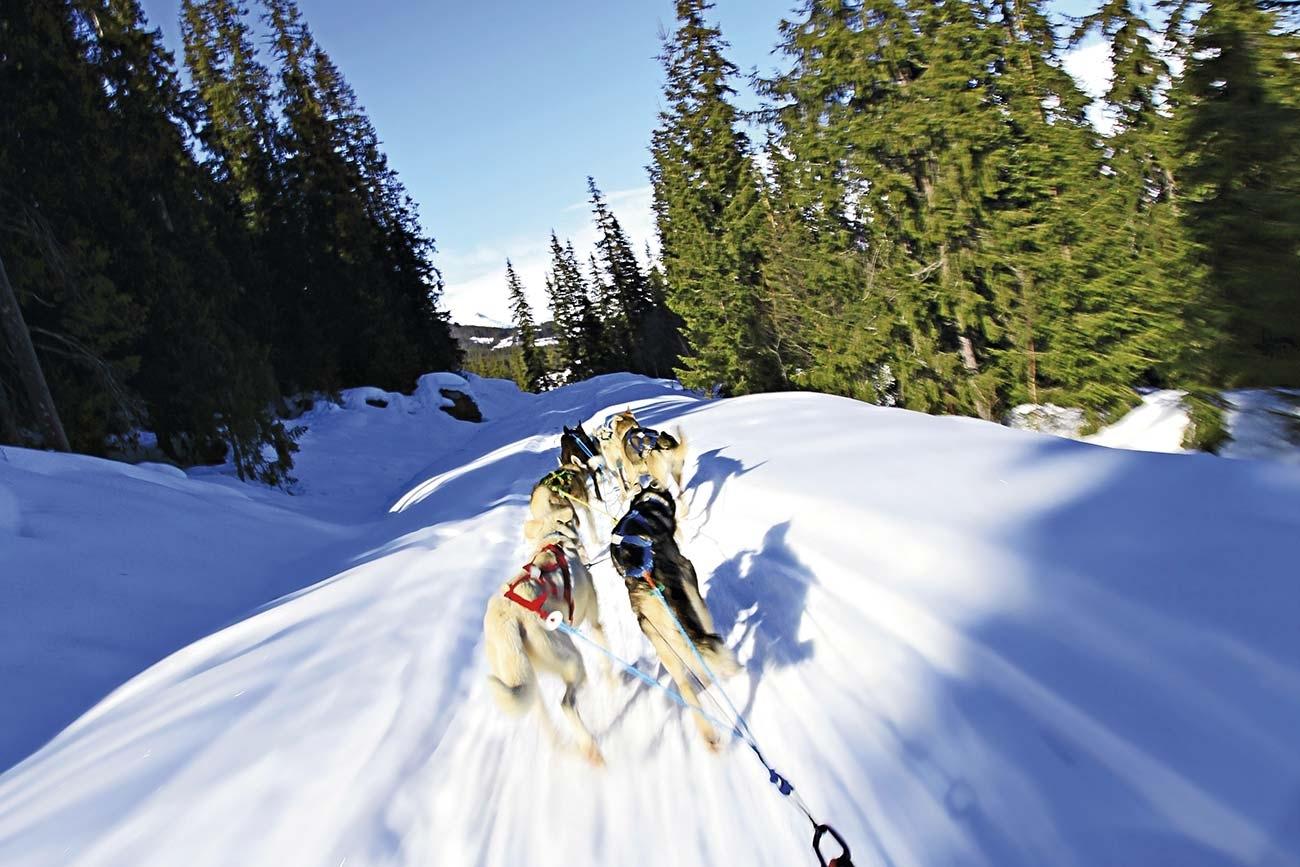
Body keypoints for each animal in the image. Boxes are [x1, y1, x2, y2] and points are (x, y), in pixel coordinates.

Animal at [486, 488, 611, 764]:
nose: (577, 521)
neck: (552, 542)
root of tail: (508, 617)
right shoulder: (594, 620)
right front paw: (616, 682)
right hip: (570, 658)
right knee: (566, 703)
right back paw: (590, 748)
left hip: (524, 680)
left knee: (541, 713)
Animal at [605, 486, 738, 748]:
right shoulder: (689, 577)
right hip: (688, 600)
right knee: (704, 642)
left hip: (665, 648)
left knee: (687, 686)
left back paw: (708, 734)